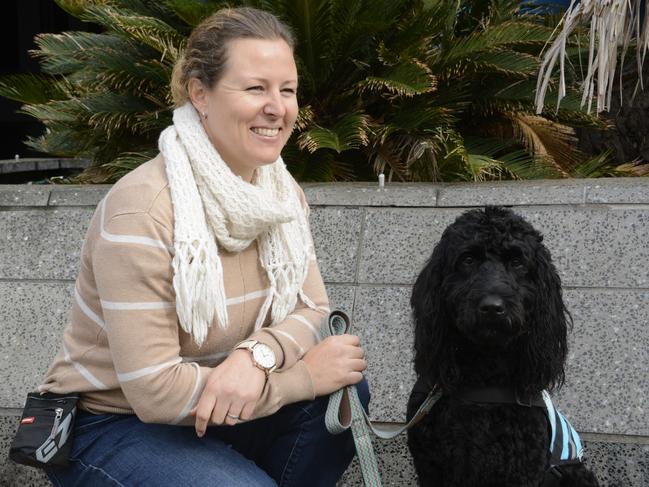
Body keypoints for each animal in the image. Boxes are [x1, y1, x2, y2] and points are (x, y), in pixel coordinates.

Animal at [404, 207, 596, 487]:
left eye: (517, 262)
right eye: (468, 259)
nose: (492, 307)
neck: (484, 376)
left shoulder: (521, 471)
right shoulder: (431, 467)